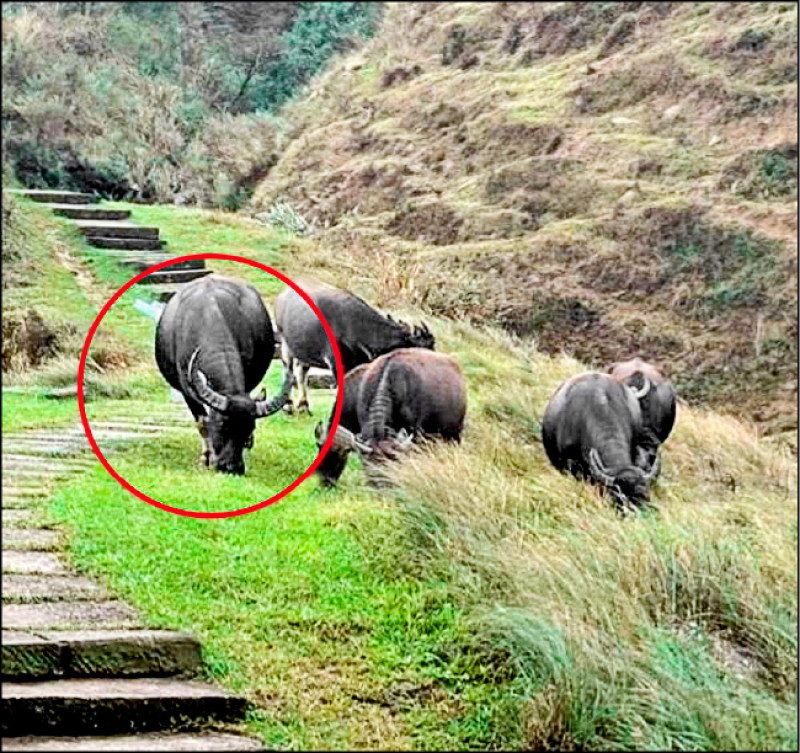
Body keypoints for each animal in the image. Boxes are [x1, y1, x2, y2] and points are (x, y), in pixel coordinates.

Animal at [155, 276, 292, 472]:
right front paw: (207, 457)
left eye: (249, 428)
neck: (208, 318)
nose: (231, 467)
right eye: (221, 425)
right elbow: (203, 421)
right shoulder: (187, 390)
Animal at [276, 280, 438, 414]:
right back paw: (288, 405)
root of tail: (282, 297)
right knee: (288, 371)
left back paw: (303, 405)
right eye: (419, 351)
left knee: (301, 373)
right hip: (285, 346)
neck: (353, 326)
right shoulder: (336, 362)